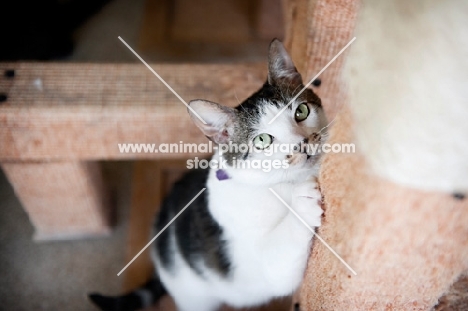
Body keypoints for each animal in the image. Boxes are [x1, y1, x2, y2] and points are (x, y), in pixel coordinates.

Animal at [89, 40, 328, 311]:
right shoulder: (261, 264)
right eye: (262, 140)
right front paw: (302, 201)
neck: (280, 183)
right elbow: (280, 257)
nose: (302, 144)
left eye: (301, 111)